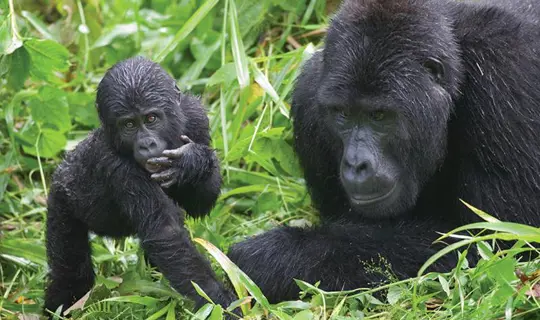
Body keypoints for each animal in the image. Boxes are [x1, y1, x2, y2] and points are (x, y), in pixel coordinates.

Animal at [230, 0, 540, 302]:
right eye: (342, 114)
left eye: (379, 115)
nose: (356, 164)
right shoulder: (308, 98)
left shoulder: (505, 71)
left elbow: (498, 242)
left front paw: (272, 257)